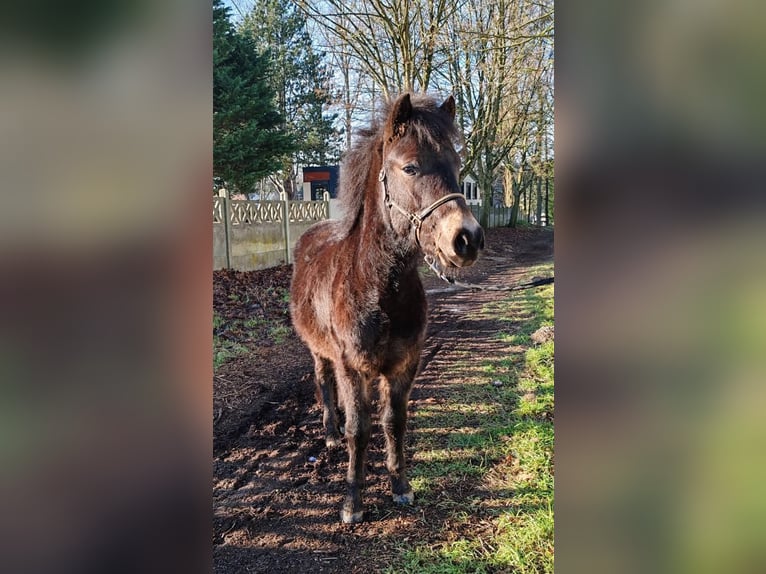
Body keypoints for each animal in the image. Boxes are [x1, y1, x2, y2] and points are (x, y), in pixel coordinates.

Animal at [292, 92, 484, 524]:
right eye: (410, 167)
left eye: (456, 165)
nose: (467, 239)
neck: (378, 288)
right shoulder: (352, 367)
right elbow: (358, 430)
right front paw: (352, 502)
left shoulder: (403, 366)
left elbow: (394, 423)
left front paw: (401, 487)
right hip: (318, 351)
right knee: (323, 382)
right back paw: (329, 434)